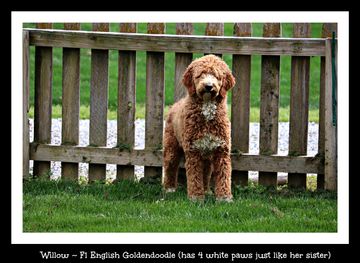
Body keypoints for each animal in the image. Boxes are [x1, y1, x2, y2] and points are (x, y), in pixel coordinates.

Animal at [163, 54, 236, 201]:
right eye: (201, 74)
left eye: (216, 75)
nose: (208, 86)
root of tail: (174, 105)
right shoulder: (193, 150)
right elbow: (195, 177)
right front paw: (196, 197)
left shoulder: (221, 150)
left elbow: (224, 175)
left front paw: (224, 197)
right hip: (172, 147)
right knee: (170, 166)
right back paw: (169, 188)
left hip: (207, 156)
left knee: (206, 172)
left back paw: (207, 190)